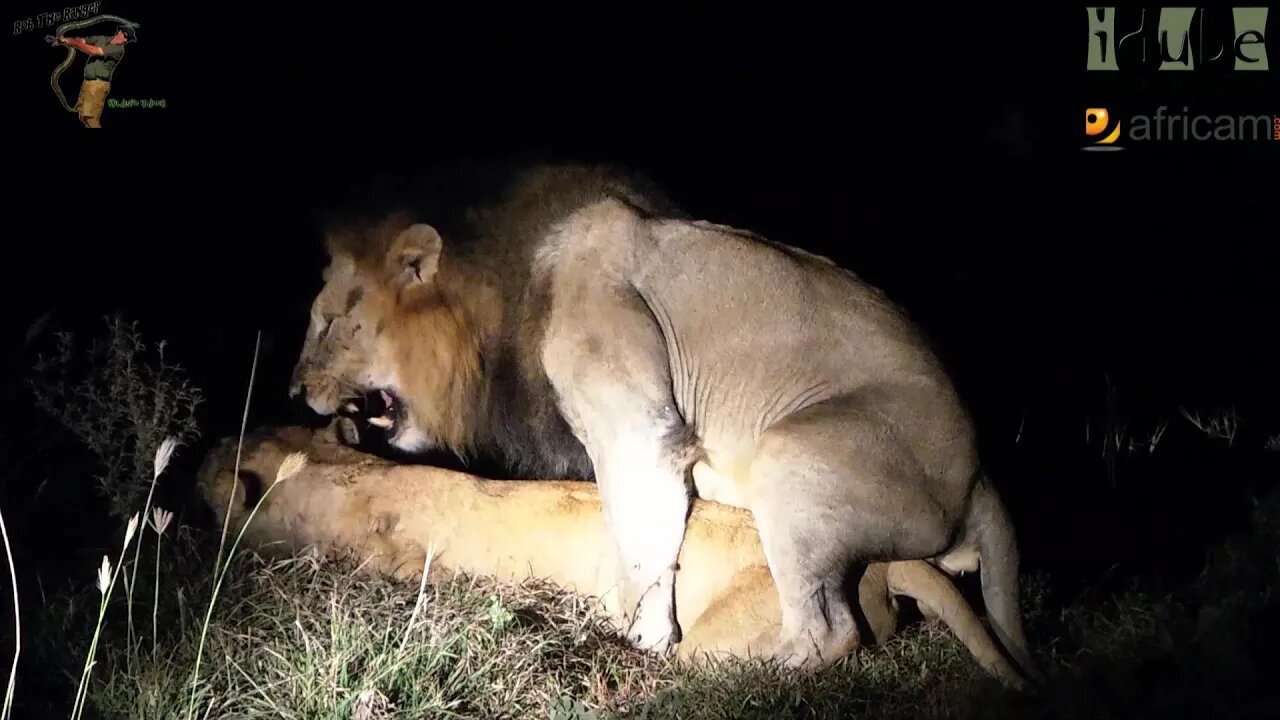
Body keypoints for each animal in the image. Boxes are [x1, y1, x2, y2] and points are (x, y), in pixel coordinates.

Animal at [290, 161, 1039, 676]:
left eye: (328, 324)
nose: (295, 390)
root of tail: (983, 480)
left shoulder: (637, 429)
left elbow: (641, 541)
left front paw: (641, 638)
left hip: (793, 456)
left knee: (829, 633)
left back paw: (712, 675)